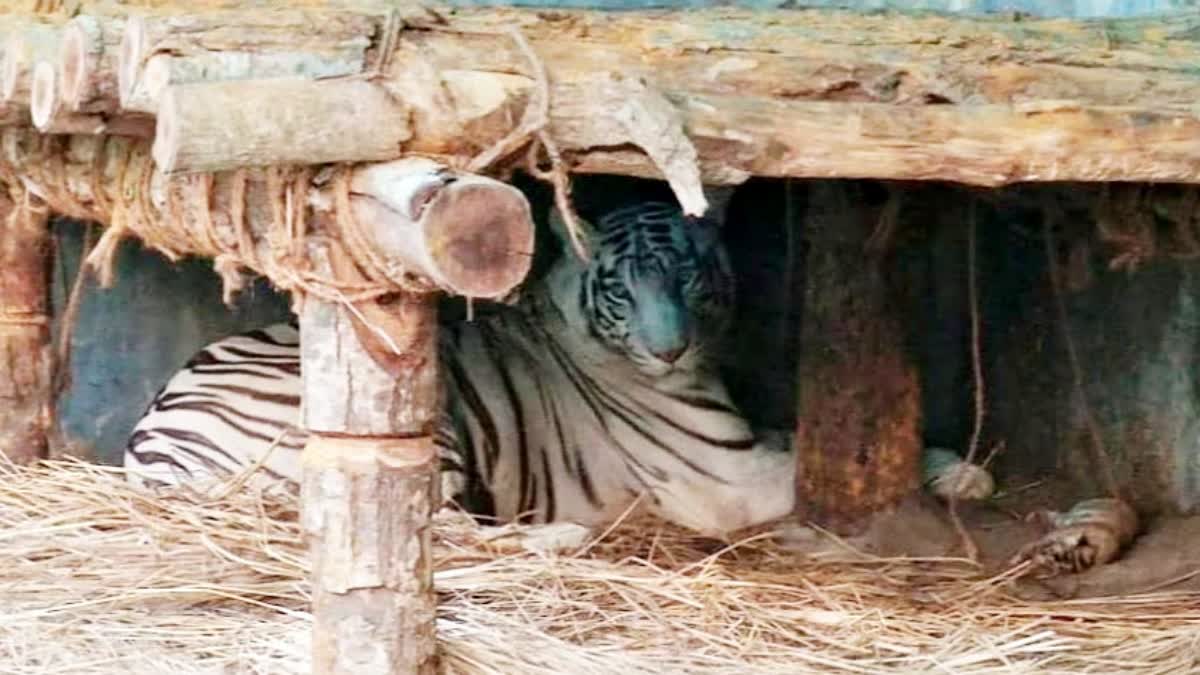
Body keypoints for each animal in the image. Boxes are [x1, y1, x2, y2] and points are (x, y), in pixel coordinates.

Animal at [123, 200, 800, 537]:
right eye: (620, 291)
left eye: (686, 276)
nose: (669, 352)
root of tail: (150, 445)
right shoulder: (726, 481)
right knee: (440, 532)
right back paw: (566, 537)